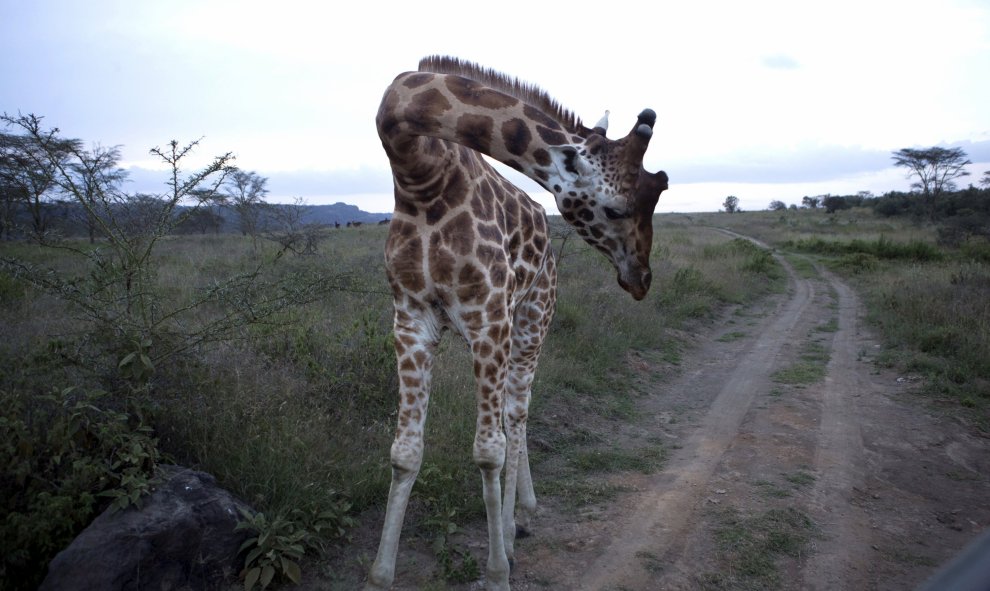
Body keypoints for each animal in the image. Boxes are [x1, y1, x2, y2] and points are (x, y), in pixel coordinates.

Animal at [364, 56, 668, 591]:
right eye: (616, 208)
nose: (640, 278)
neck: (419, 172)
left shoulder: (488, 317)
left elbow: (489, 451)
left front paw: (497, 571)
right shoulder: (411, 319)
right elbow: (404, 453)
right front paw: (381, 575)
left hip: (530, 323)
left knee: (518, 412)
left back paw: (512, 527)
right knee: (512, 412)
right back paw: (520, 513)